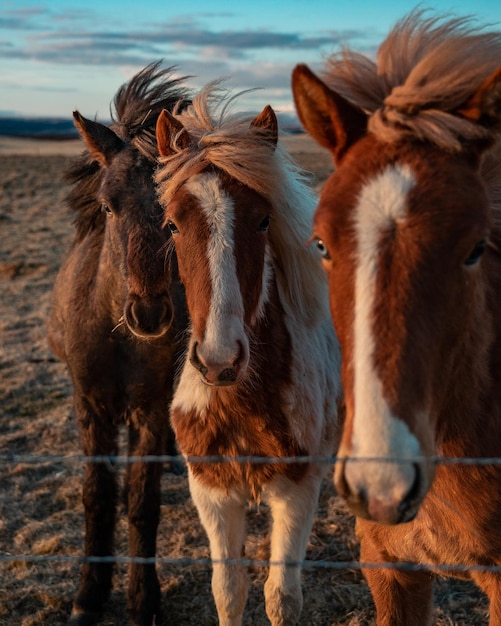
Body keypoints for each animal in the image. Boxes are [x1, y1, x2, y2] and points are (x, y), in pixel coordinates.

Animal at [46, 64, 189, 624]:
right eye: (107, 205)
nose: (148, 315)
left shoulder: (148, 406)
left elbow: (141, 504)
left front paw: (142, 598)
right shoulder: (91, 405)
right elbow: (98, 496)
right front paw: (89, 593)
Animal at [154, 88, 342, 624]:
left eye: (263, 220)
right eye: (172, 224)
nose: (219, 361)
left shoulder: (298, 492)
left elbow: (281, 598)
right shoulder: (212, 494)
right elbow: (229, 589)